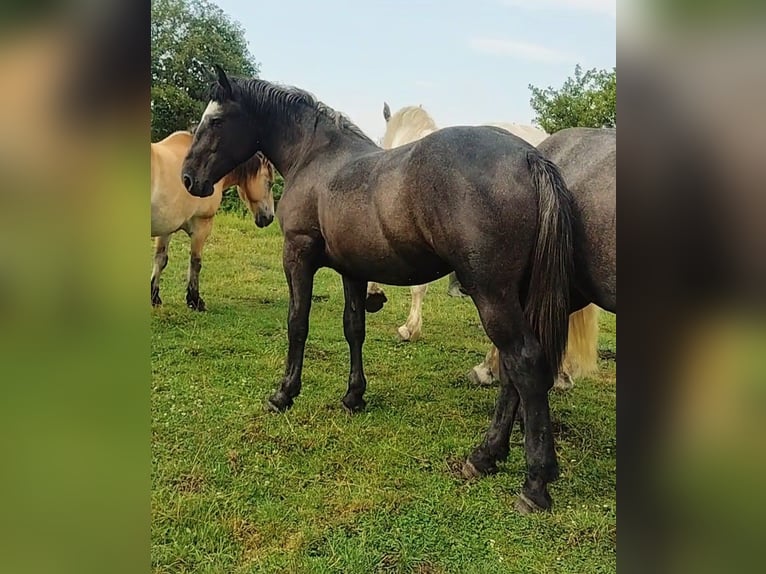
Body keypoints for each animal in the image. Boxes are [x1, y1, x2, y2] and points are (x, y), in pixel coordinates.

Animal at [151, 130, 276, 312]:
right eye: (269, 183)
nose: (270, 217)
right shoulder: (202, 225)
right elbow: (195, 262)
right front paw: (195, 301)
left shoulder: (167, 227)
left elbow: (161, 260)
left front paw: (155, 298)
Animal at [183, 67, 580, 512]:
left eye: (216, 120)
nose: (188, 178)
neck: (316, 157)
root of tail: (529, 157)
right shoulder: (352, 271)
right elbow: (354, 328)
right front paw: (354, 396)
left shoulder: (298, 255)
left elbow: (297, 323)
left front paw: (283, 394)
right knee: (512, 370)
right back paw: (486, 456)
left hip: (491, 295)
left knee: (524, 363)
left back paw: (534, 482)